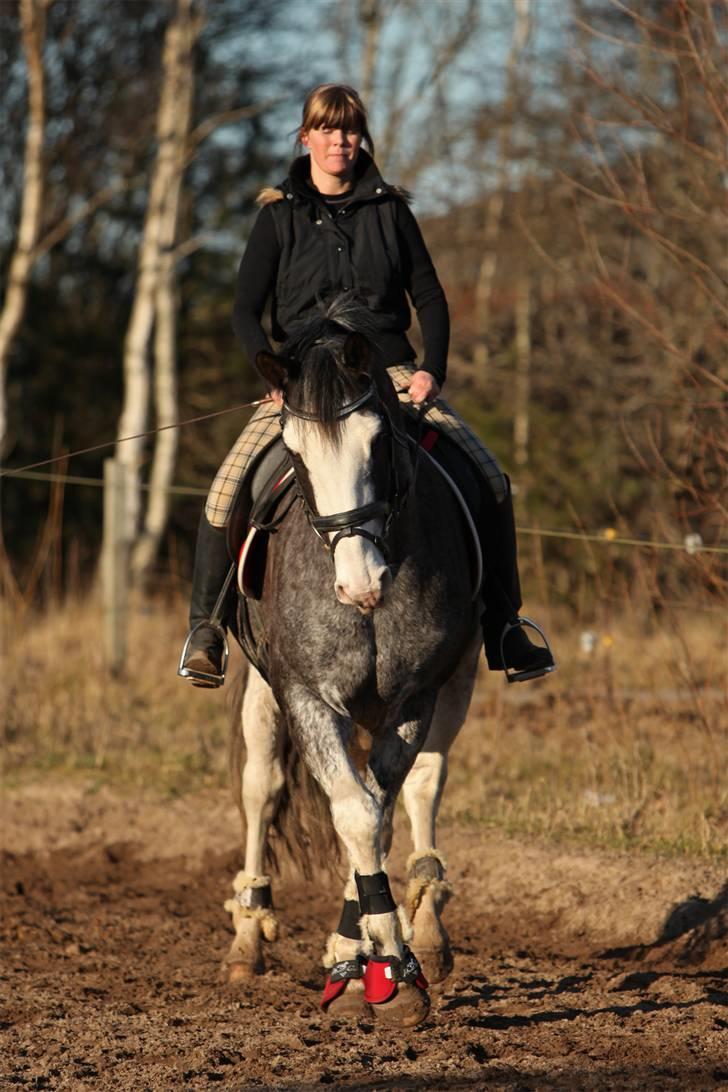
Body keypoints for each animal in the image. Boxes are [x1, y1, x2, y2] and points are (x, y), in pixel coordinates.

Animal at [222, 299, 484, 1022]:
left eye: (378, 441)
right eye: (296, 452)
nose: (361, 583)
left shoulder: (417, 694)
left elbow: (377, 813)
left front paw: (381, 958)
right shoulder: (306, 694)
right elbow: (354, 813)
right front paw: (379, 957)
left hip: (455, 683)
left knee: (418, 789)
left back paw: (420, 929)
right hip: (262, 692)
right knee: (262, 789)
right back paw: (249, 938)